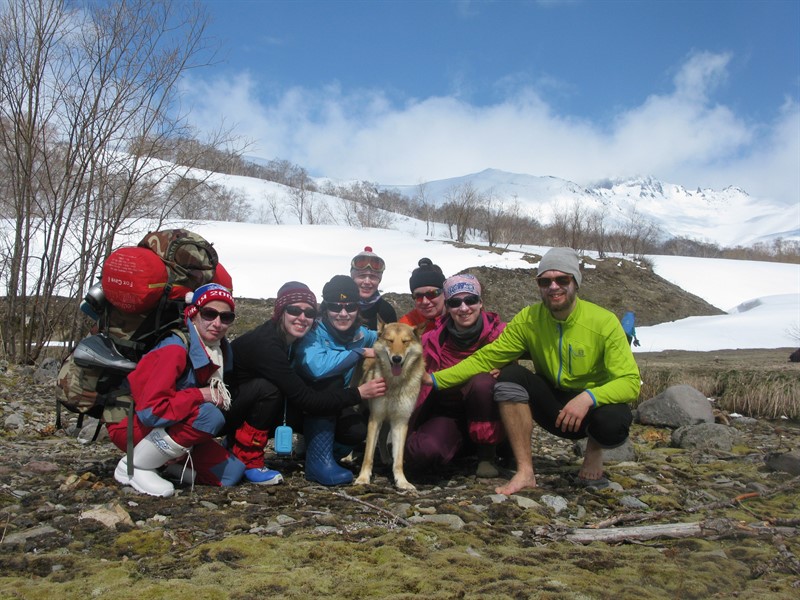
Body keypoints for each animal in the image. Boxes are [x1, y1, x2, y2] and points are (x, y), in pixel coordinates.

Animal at [354, 322, 424, 490]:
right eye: (390, 341)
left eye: (405, 341)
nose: (397, 358)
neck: (394, 383)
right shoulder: (375, 418)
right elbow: (368, 456)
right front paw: (363, 478)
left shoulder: (400, 422)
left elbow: (398, 460)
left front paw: (402, 481)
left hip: (388, 419)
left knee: (382, 437)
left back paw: (386, 458)